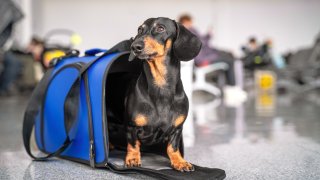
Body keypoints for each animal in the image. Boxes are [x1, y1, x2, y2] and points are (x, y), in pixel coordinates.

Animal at [124, 17, 201, 172]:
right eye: (140, 30)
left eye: (160, 28)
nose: (135, 46)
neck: (161, 87)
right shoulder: (131, 127)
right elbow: (133, 144)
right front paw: (133, 159)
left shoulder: (177, 129)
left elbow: (173, 147)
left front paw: (179, 161)